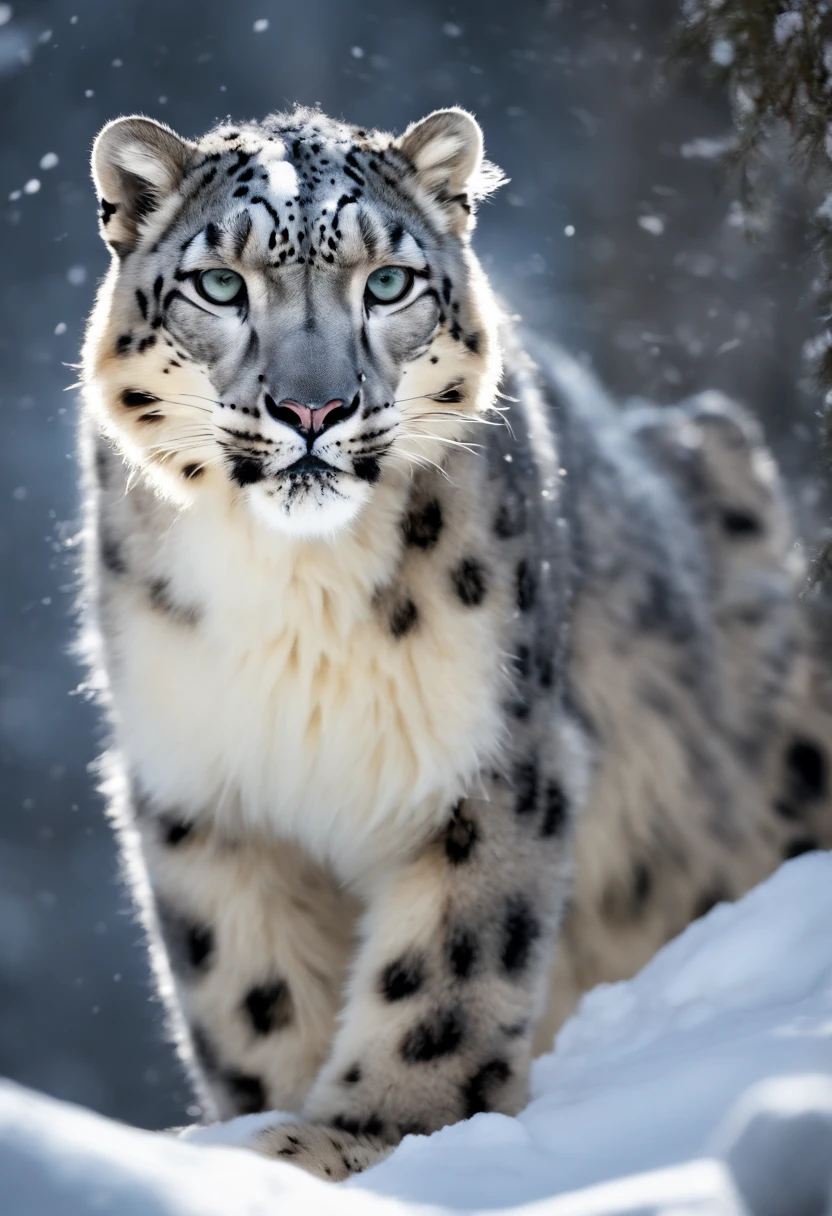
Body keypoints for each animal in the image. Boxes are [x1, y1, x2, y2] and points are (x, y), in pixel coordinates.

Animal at [79, 104, 832, 1177]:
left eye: (387, 281)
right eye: (220, 284)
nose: (313, 408)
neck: (297, 594)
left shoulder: (494, 750)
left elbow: (450, 962)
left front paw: (362, 1136)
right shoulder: (200, 779)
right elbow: (250, 986)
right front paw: (256, 1141)